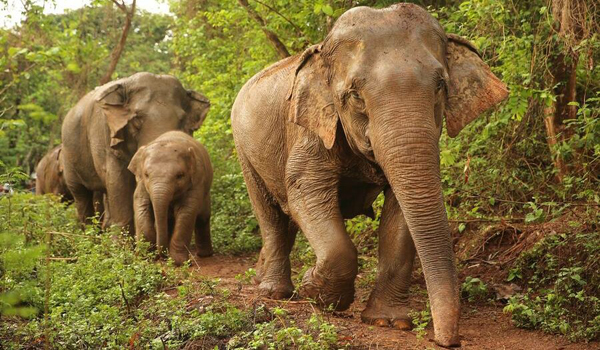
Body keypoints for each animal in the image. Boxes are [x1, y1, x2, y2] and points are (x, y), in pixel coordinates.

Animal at [61, 72, 211, 231]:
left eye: (182, 120)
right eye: (137, 118)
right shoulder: (109, 138)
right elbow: (119, 182)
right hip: (69, 157)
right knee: (81, 195)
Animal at [126, 131, 213, 266]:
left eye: (180, 175)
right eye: (146, 174)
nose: (160, 256)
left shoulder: (197, 182)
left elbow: (186, 212)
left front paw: (179, 262)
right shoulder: (141, 184)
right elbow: (142, 207)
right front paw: (144, 258)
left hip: (205, 193)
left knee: (203, 217)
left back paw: (205, 255)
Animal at [230, 3, 506, 348]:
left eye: (441, 86)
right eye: (355, 95)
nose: (447, 341)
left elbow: (400, 211)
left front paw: (387, 320)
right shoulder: (311, 130)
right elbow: (305, 191)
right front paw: (317, 292)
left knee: (286, 217)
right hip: (244, 150)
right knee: (270, 214)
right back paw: (275, 292)